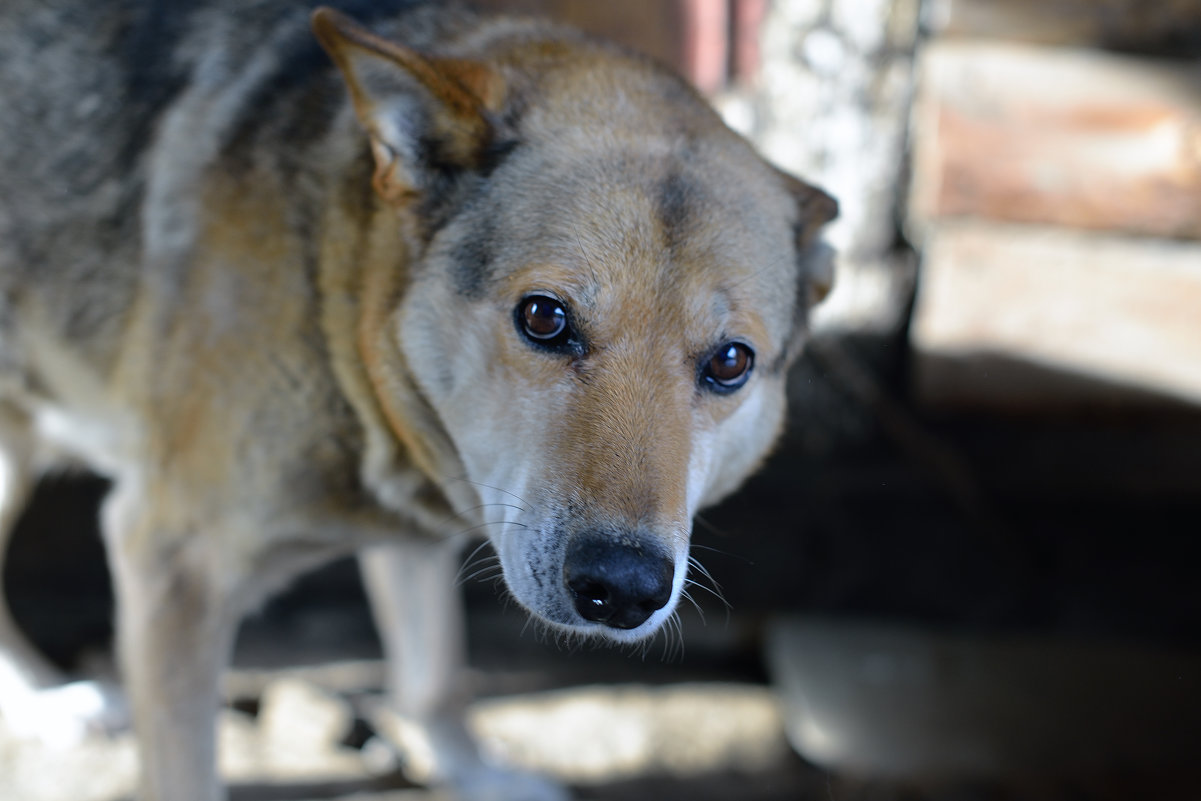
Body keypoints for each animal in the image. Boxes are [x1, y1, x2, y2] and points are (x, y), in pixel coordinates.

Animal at [0, 1, 840, 797]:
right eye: (544, 318)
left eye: (729, 362)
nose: (623, 588)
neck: (333, 295)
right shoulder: (176, 563)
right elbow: (186, 772)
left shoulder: (417, 531)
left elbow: (433, 676)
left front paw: (473, 773)